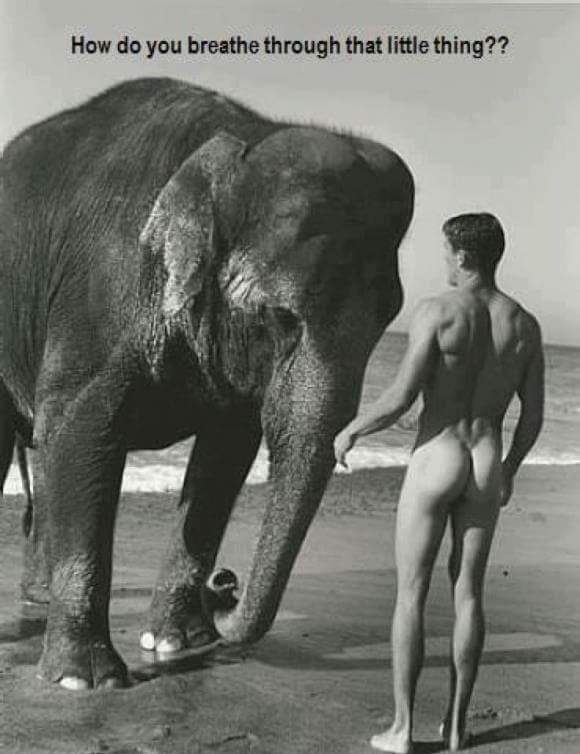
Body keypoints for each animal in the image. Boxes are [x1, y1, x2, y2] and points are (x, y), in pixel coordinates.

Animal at [0, 77, 414, 690]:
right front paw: (85, 680)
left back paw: (41, 598)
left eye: (389, 319)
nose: (225, 584)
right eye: (280, 317)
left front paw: (179, 643)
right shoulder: (101, 290)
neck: (245, 138)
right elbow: (83, 425)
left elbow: (226, 453)